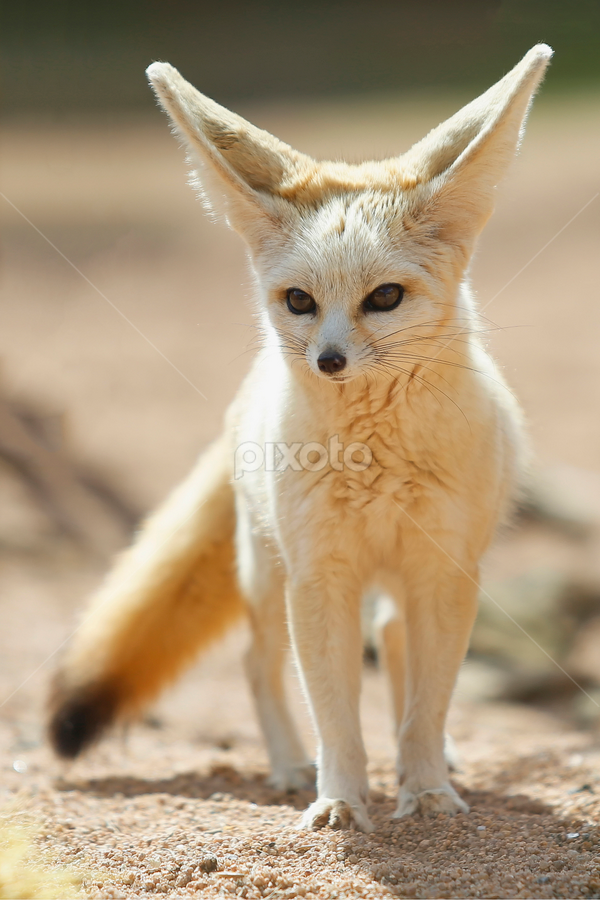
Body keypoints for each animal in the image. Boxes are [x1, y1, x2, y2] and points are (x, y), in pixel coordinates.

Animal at [48, 45, 552, 833]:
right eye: (300, 302)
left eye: (384, 297)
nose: (329, 361)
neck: (374, 460)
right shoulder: (321, 575)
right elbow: (334, 711)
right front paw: (340, 799)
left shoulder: (444, 573)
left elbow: (426, 704)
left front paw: (427, 791)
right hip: (265, 574)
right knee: (258, 666)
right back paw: (290, 767)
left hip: (389, 584)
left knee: (396, 650)